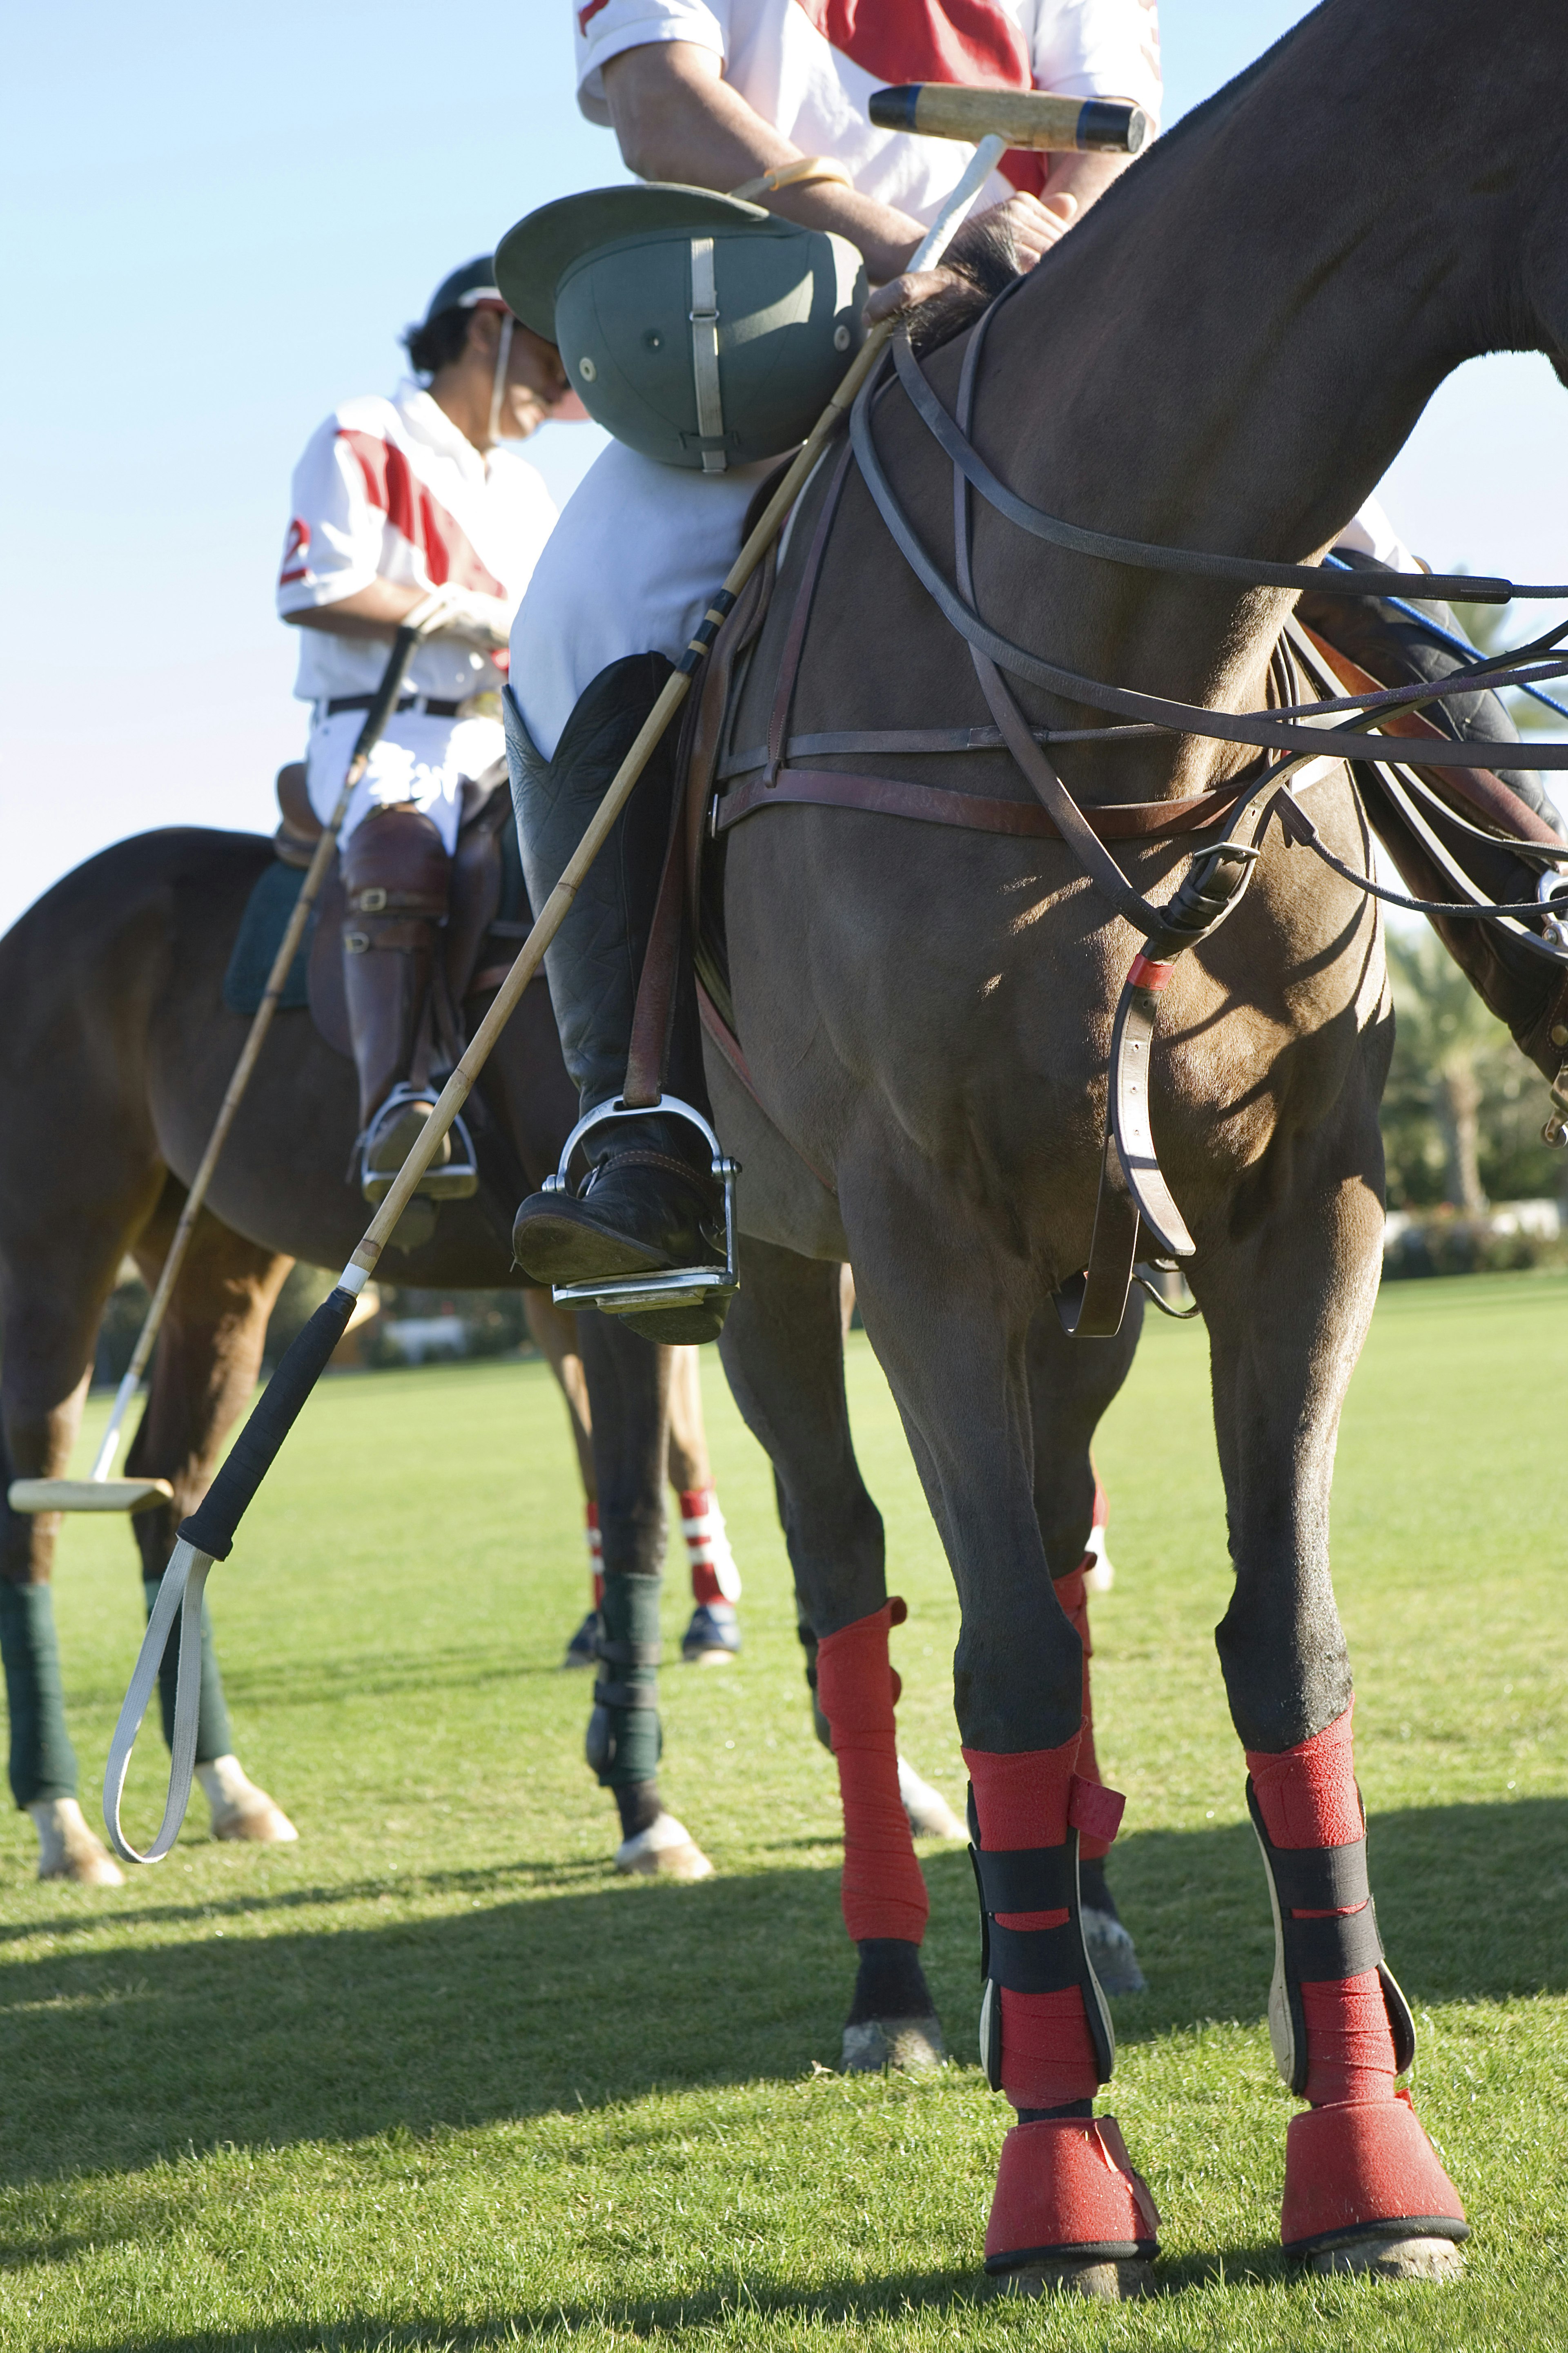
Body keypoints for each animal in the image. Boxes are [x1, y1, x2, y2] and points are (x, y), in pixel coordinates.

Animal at [682, 0, 1568, 2296]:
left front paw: (1365, 2146)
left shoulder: (1301, 1211)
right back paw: (912, 1989)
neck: (1120, 697)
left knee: (1068, 1539)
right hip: (772, 1267)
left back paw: (1067, 1935)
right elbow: (993, 1657)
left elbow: (1281, 1636)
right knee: (851, 1577)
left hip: (1085, 1279)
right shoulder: (919, 1240)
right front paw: (1060, 2185)